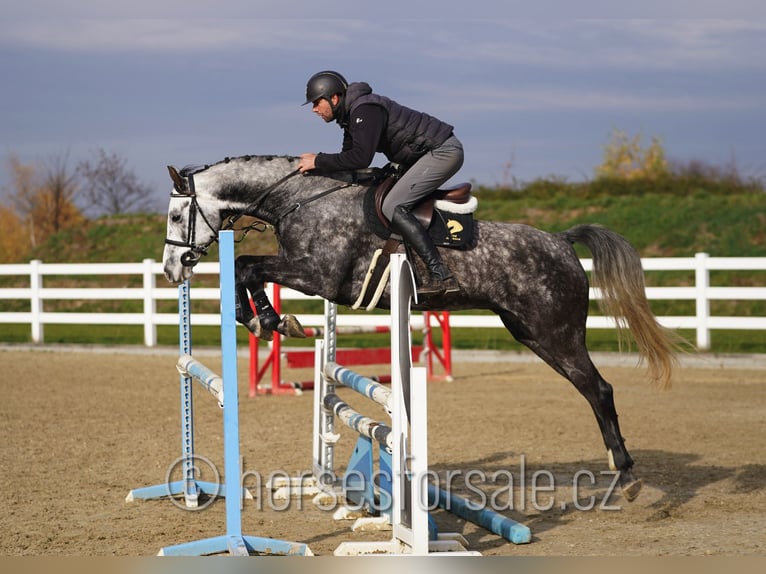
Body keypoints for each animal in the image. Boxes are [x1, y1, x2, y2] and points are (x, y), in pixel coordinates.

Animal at [162, 154, 679, 503]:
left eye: (175, 214)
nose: (171, 270)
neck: (300, 200)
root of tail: (561, 240)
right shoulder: (305, 272)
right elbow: (247, 267)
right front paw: (263, 318)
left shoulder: (317, 275)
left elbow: (249, 266)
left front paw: (270, 319)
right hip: (531, 334)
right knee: (591, 389)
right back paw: (618, 469)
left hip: (556, 332)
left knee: (599, 389)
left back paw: (627, 474)